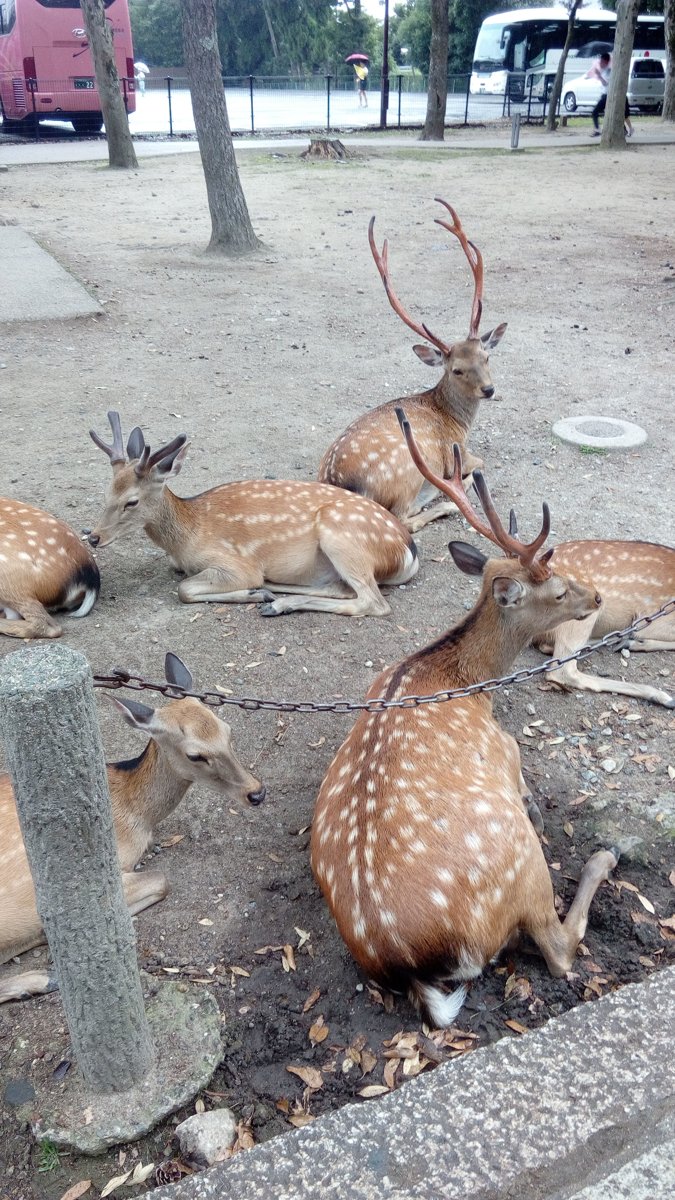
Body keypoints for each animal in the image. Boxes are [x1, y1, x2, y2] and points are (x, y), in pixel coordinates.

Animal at [0, 657, 263, 1003]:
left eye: (227, 730)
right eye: (195, 754)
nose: (256, 793)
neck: (134, 817)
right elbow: (162, 880)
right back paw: (42, 978)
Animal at [87, 412, 417, 619]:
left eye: (131, 502)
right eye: (106, 492)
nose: (93, 537)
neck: (187, 537)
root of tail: (408, 550)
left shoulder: (232, 562)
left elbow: (184, 589)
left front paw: (250, 593)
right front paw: (257, 593)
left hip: (342, 536)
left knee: (372, 602)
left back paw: (271, 599)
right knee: (341, 588)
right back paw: (274, 596)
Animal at [309, 415, 614, 1032]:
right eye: (559, 588)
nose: (596, 595)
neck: (468, 683)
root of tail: (407, 962)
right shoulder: (506, 749)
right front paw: (541, 807)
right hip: (517, 858)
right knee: (557, 946)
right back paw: (602, 857)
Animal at [317, 200, 504, 530]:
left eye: (486, 357)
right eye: (456, 369)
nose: (489, 389)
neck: (456, 421)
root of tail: (339, 482)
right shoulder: (457, 452)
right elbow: (479, 461)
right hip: (407, 469)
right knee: (403, 518)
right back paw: (449, 500)